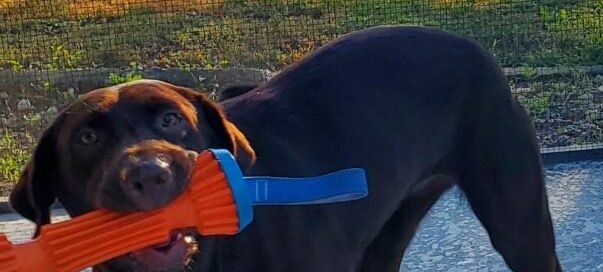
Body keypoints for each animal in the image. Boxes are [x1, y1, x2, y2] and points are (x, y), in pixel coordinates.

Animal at [9, 26, 560, 272]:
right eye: (87, 138)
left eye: (171, 120)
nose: (149, 174)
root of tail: (472, 45)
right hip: (383, 240)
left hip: (519, 224)